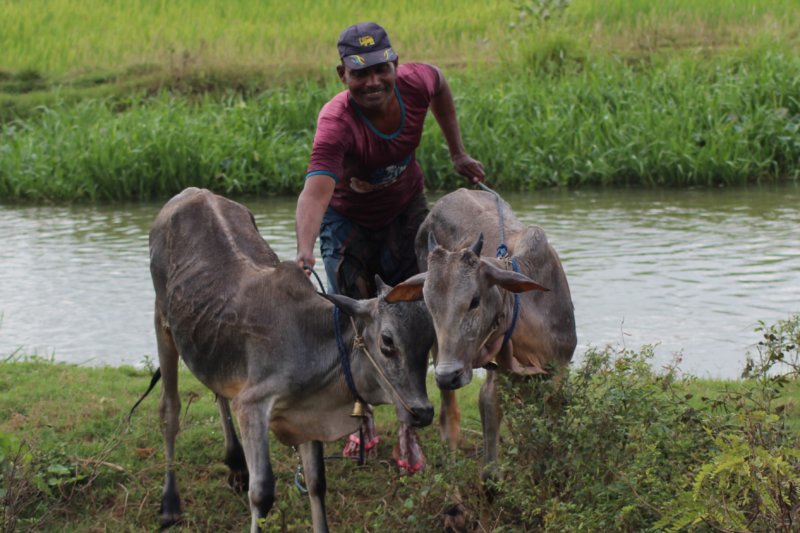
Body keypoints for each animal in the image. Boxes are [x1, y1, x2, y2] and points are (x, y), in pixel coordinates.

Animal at [148, 188, 434, 533]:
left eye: (430, 341)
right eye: (388, 342)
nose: (423, 412)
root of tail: (192, 192)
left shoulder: (305, 416)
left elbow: (316, 483)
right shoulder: (252, 405)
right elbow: (262, 493)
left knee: (218, 390)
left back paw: (235, 464)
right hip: (162, 323)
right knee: (169, 410)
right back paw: (169, 503)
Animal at [386, 187, 576, 483]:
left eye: (474, 300)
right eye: (428, 303)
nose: (448, 375)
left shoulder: (559, 368)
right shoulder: (496, 375)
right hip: (440, 352)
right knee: (447, 410)